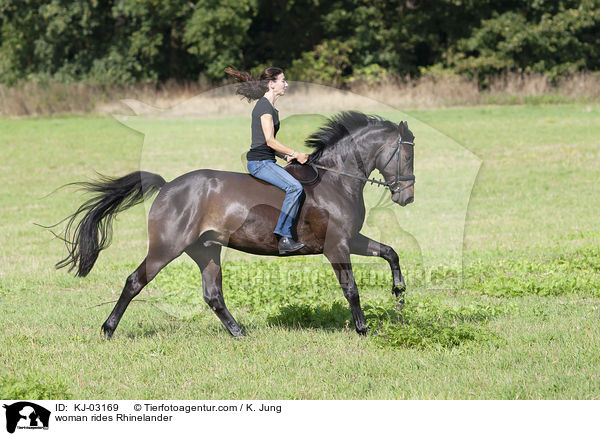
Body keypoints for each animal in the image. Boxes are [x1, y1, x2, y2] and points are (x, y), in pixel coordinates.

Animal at [55, 111, 412, 338]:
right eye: (406, 156)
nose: (406, 196)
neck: (336, 180)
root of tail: (168, 186)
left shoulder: (351, 238)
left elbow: (391, 252)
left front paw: (399, 296)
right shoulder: (337, 245)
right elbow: (351, 289)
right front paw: (363, 329)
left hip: (205, 250)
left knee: (213, 295)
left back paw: (239, 332)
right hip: (166, 247)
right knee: (134, 281)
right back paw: (108, 329)